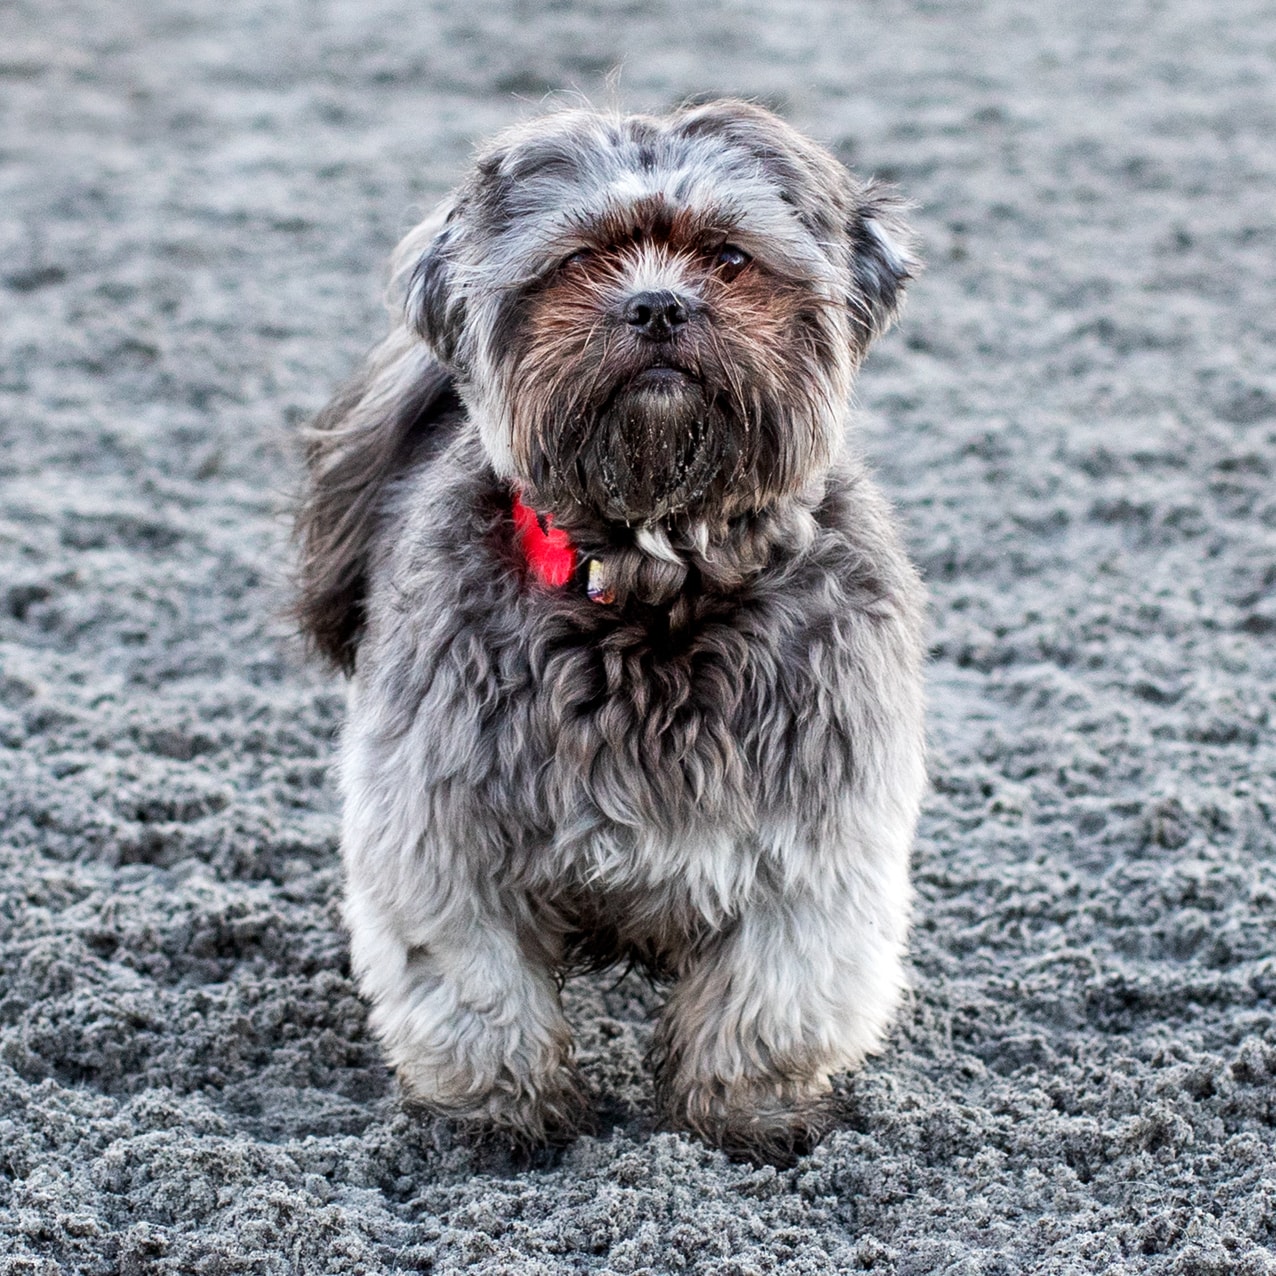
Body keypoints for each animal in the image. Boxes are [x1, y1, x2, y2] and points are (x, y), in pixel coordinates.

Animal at [293, 99, 923, 1158]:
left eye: (730, 257)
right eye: (580, 259)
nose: (659, 306)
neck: (653, 581)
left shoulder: (813, 841)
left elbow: (773, 994)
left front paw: (748, 1116)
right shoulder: (445, 833)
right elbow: (475, 988)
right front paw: (503, 1117)